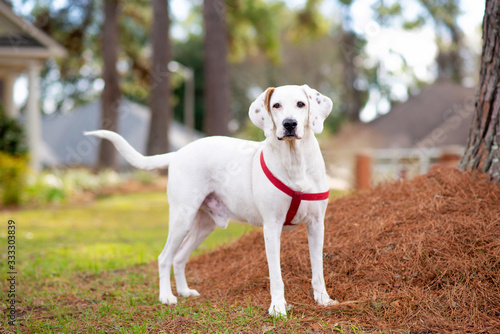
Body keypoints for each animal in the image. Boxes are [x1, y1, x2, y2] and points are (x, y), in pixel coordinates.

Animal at [86, 83, 338, 316]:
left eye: (301, 104)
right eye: (276, 105)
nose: (289, 124)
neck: (295, 163)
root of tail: (178, 153)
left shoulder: (317, 226)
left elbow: (318, 269)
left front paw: (323, 300)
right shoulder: (272, 227)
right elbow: (276, 276)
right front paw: (277, 307)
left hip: (203, 225)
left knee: (179, 257)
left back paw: (184, 291)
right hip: (182, 218)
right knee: (164, 257)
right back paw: (166, 296)